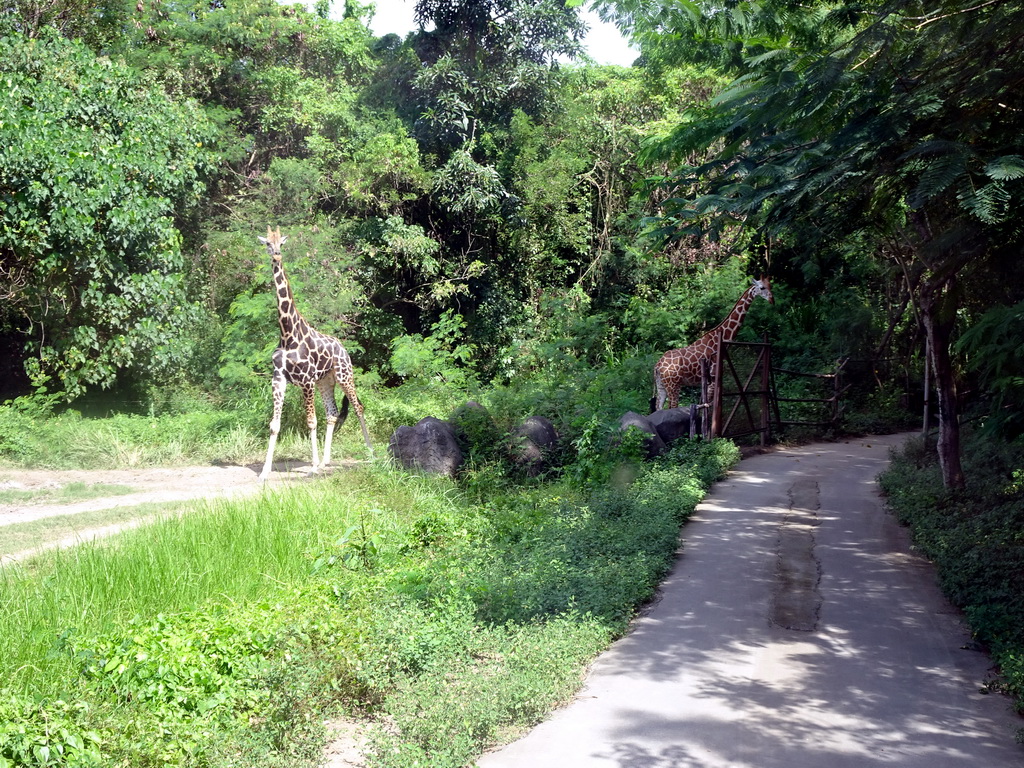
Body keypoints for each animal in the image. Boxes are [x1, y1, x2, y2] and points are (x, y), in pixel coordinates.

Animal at [256, 225, 372, 483]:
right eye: (267, 243)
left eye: (281, 243)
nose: (277, 255)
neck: (288, 333)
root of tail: (343, 348)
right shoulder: (279, 379)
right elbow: (274, 424)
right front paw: (265, 472)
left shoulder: (306, 380)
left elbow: (310, 421)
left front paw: (311, 467)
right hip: (325, 381)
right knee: (332, 413)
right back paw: (326, 461)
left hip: (343, 375)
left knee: (358, 407)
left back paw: (371, 454)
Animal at [651, 274, 770, 411]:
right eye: (762, 287)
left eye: (770, 286)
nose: (771, 298)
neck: (719, 338)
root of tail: (657, 366)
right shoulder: (713, 379)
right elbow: (708, 407)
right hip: (674, 385)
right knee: (671, 407)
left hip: (661, 385)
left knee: (658, 408)